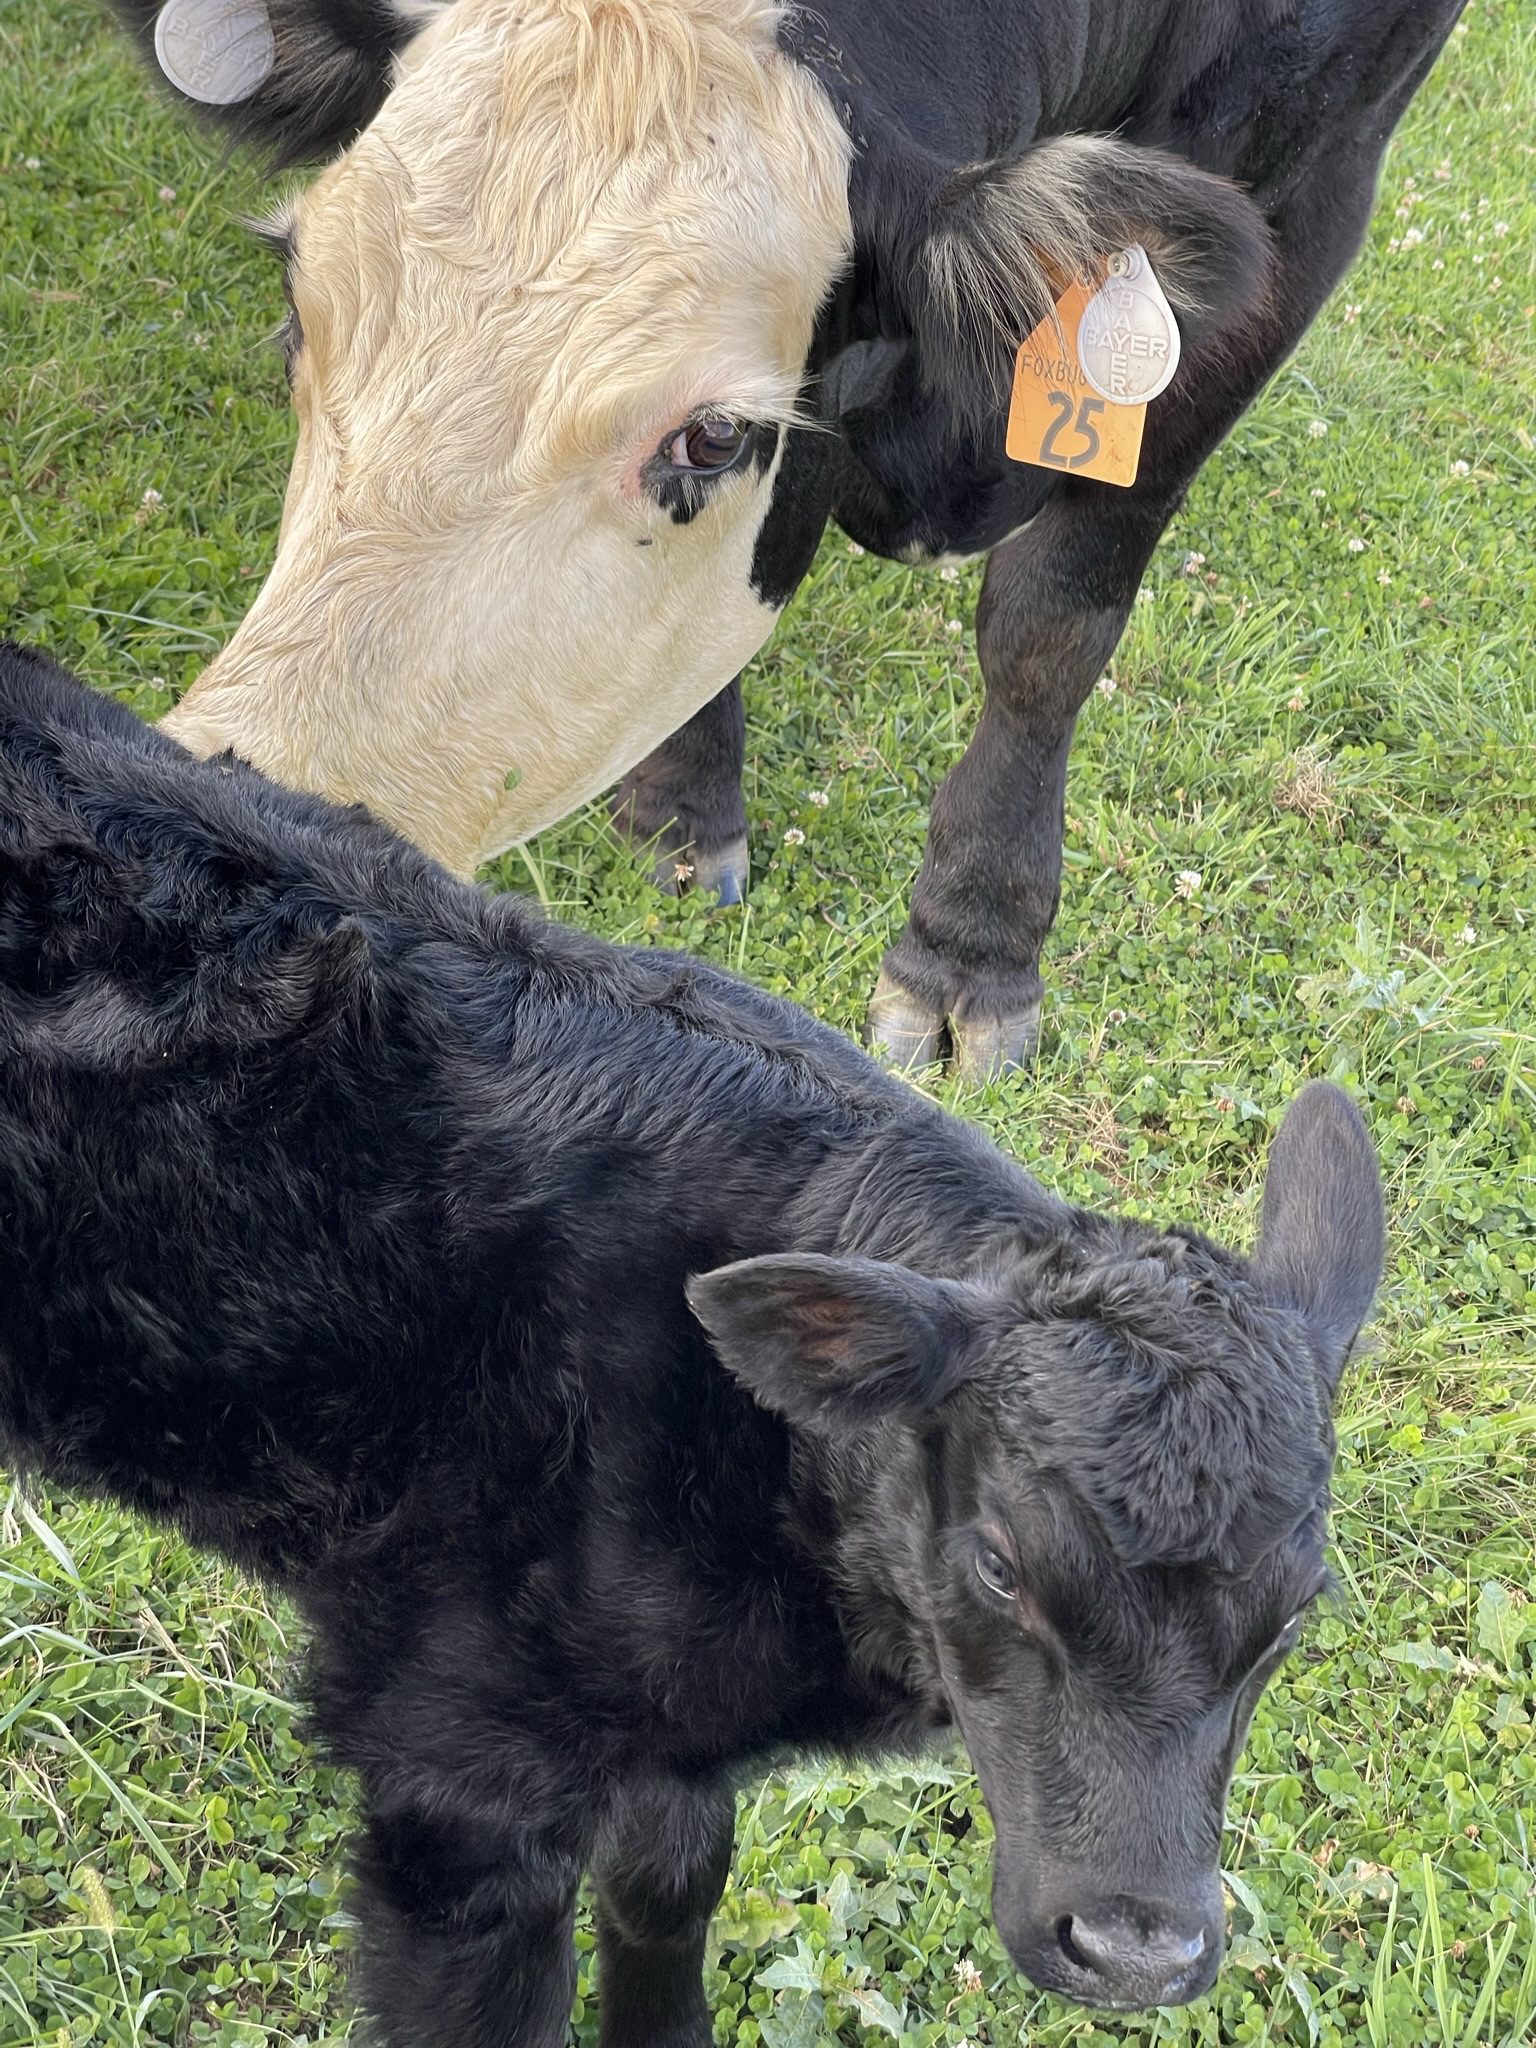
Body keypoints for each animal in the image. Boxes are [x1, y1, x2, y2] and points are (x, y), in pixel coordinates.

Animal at [1, 639, 1385, 2047]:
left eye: (1295, 1612)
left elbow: (669, 1887)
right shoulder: (458, 1770)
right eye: (1000, 1565)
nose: (1136, 1950)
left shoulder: (669, 1756)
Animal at [104, 0, 1468, 1079]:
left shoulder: (1309, 195)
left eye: (711, 438)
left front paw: (972, 950)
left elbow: (1052, 623)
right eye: (298, 301)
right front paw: (684, 809)